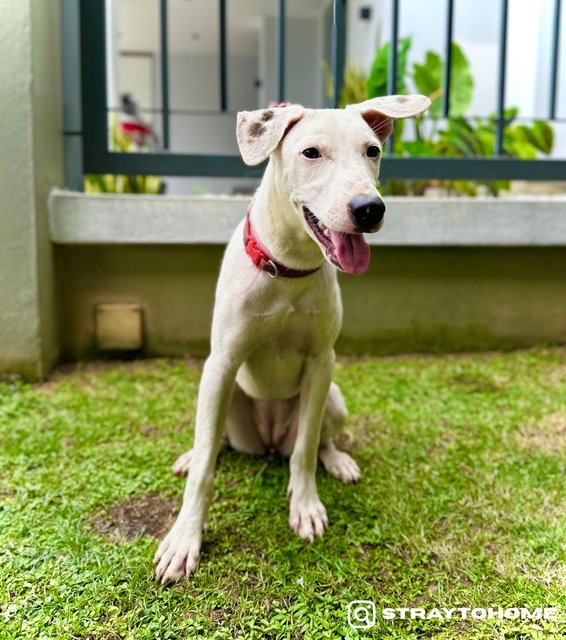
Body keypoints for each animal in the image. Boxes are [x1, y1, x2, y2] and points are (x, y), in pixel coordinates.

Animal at [155, 95, 430, 584]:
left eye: (373, 151)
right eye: (311, 153)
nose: (369, 209)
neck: (289, 267)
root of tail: (267, 441)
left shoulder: (322, 364)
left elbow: (304, 451)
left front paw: (305, 506)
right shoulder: (222, 363)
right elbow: (205, 468)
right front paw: (185, 537)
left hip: (333, 399)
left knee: (318, 439)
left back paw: (337, 459)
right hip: (222, 397)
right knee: (213, 440)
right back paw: (191, 455)